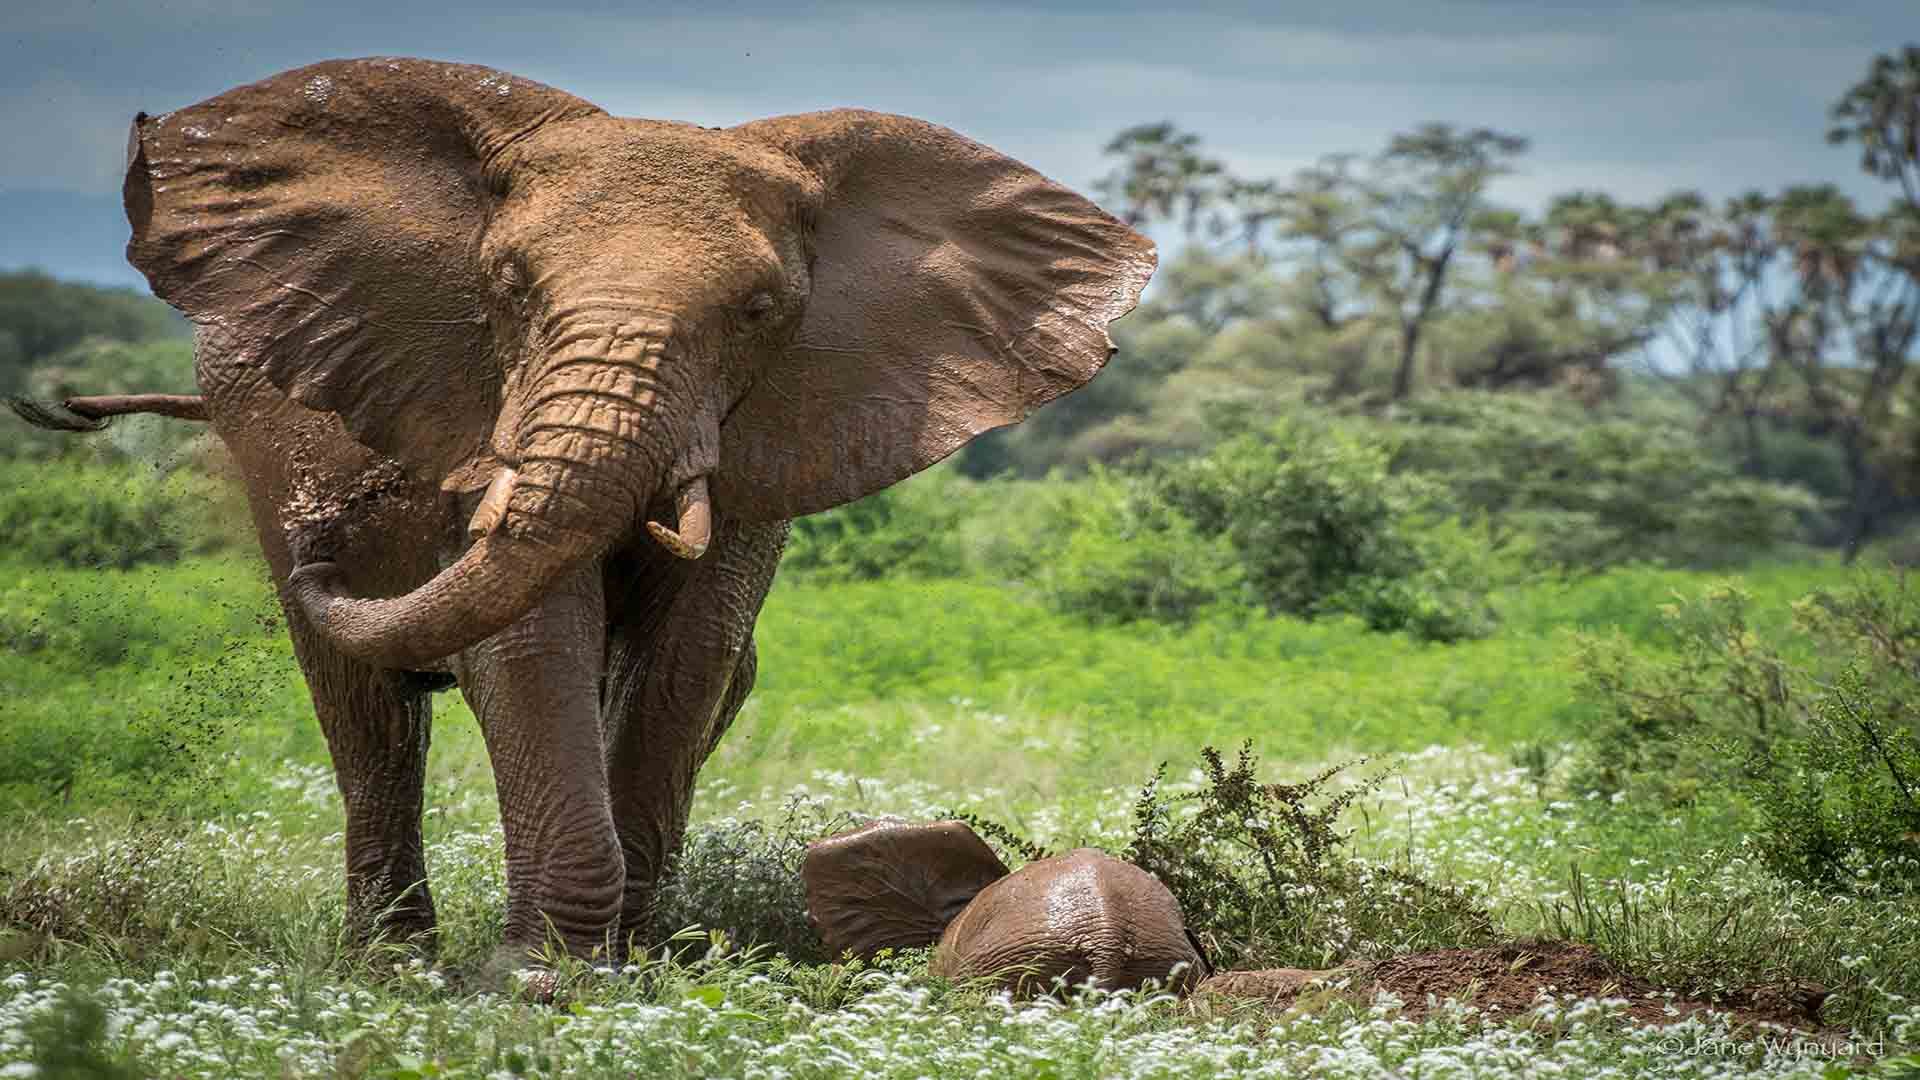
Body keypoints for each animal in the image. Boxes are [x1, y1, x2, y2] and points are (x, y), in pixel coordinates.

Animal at [10, 57, 1155, 973]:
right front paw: (542, 981)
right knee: (368, 721)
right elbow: (530, 645)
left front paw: (635, 967)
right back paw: (391, 965)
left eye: (759, 312)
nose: (334, 522)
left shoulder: (772, 425)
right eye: (509, 286)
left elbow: (688, 656)